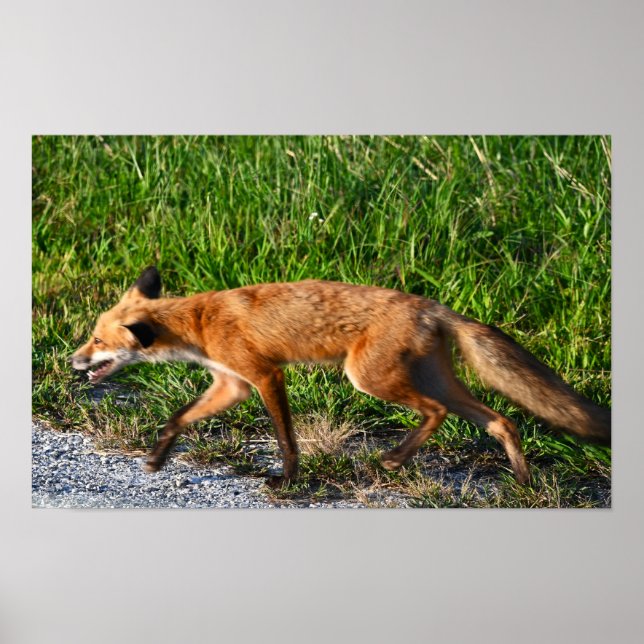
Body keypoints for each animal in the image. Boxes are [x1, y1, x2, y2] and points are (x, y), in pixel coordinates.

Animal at [70, 266, 611, 487]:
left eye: (96, 341)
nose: (72, 362)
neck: (200, 320)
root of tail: (433, 307)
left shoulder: (265, 376)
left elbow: (286, 439)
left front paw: (286, 481)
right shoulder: (231, 383)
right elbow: (178, 419)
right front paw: (158, 457)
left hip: (369, 379)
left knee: (435, 413)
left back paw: (395, 459)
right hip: (436, 380)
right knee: (502, 420)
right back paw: (524, 483)